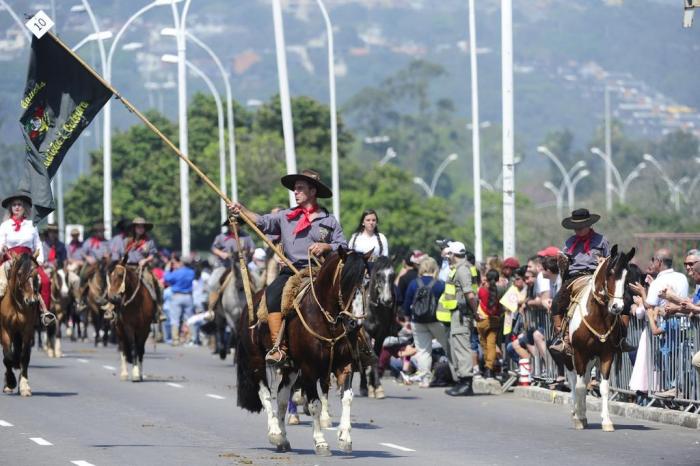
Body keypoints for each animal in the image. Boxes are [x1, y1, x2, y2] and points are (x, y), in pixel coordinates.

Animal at [0, 253, 41, 396]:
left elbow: (24, 356)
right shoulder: (5, 330)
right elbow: (7, 357)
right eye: (19, 273)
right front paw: (11, 382)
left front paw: (24, 386)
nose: (31, 301)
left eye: (36, 274)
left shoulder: (27, 330)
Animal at [237, 249, 370, 456]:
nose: (355, 324)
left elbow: (347, 397)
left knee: (282, 397)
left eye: (367, 281)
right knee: (265, 394)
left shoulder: (344, 365)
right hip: (256, 362)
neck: (328, 322)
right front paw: (321, 442)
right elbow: (315, 404)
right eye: (345, 280)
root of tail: (248, 309)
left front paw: (345, 438)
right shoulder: (309, 369)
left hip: (291, 367)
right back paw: (275, 433)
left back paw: (283, 439)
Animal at [568, 246, 636, 432]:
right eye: (610, 273)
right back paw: (577, 413)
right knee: (574, 381)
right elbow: (580, 386)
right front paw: (578, 418)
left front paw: (606, 421)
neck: (596, 316)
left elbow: (604, 387)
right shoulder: (579, 353)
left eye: (628, 276)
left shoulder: (607, 355)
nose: (617, 307)